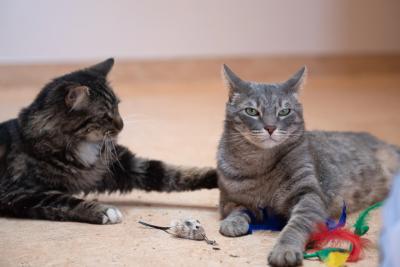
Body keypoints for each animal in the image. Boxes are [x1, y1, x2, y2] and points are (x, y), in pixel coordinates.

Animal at [0, 59, 217, 225]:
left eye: (118, 106)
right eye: (105, 115)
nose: (122, 125)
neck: (83, 146)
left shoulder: (122, 165)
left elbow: (176, 173)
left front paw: (217, 176)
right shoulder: (20, 193)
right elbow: (64, 200)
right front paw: (103, 211)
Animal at [219, 65, 400, 267]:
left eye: (284, 111)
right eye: (251, 111)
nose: (270, 127)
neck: (262, 163)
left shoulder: (310, 195)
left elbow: (296, 225)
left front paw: (285, 249)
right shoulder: (229, 199)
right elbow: (238, 209)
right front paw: (233, 222)